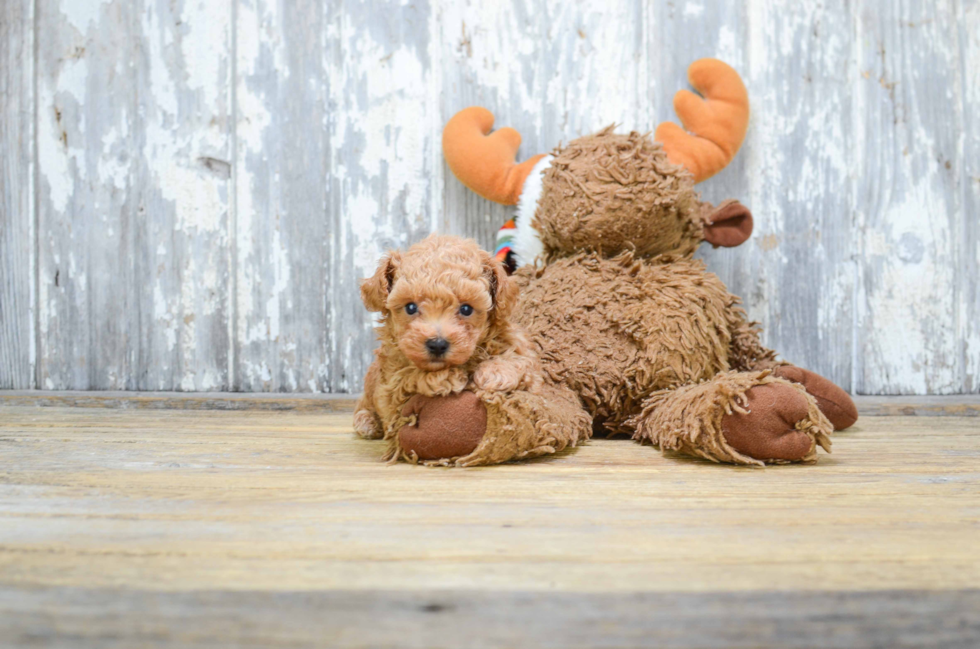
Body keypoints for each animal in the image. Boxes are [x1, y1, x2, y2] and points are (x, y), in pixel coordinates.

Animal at [356, 234, 592, 466]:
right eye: (411, 307)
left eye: (466, 309)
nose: (437, 344)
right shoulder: (389, 392)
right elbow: (406, 376)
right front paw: (446, 377)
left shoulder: (527, 361)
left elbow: (519, 362)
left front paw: (494, 372)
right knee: (364, 403)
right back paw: (366, 422)